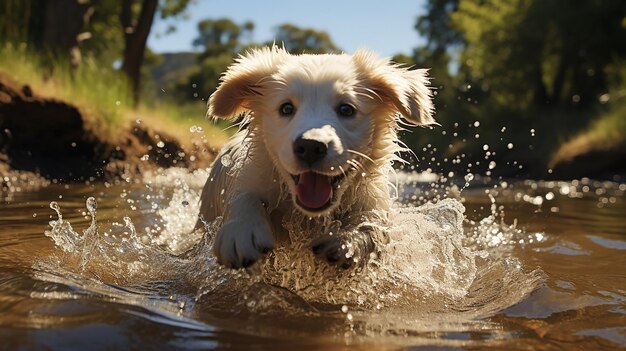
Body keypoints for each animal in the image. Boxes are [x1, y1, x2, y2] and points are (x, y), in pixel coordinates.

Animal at [197, 45, 432, 268]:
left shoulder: (371, 199)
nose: (310, 146)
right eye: (286, 108)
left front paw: (348, 242)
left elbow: (372, 223)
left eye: (346, 109)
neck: (308, 216)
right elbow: (244, 197)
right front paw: (241, 230)